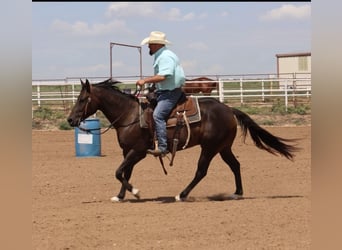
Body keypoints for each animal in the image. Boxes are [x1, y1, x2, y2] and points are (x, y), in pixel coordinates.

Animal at [67, 79, 300, 202]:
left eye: (82, 99)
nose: (70, 120)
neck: (129, 115)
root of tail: (228, 109)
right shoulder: (128, 152)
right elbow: (124, 172)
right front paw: (121, 195)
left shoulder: (139, 151)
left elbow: (118, 172)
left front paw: (135, 192)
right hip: (223, 147)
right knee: (235, 165)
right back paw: (237, 193)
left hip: (209, 148)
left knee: (201, 171)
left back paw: (182, 194)